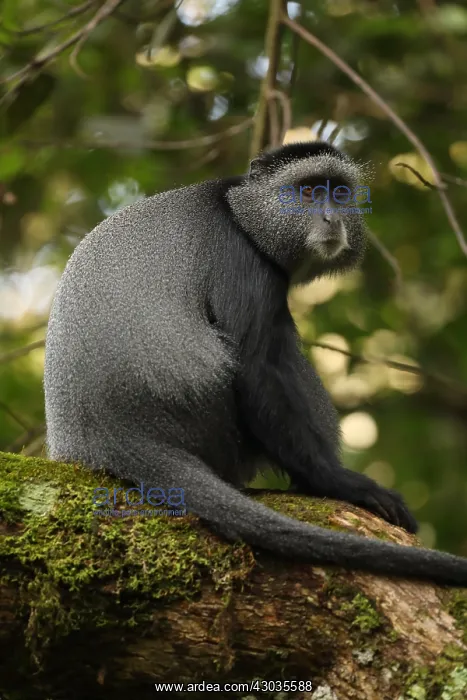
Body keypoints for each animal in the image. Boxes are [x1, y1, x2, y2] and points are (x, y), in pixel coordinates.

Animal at [43, 141, 467, 587]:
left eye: (338, 192)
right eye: (308, 191)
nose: (332, 218)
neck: (241, 212)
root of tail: (109, 438)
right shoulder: (243, 261)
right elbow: (254, 367)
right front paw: (339, 482)